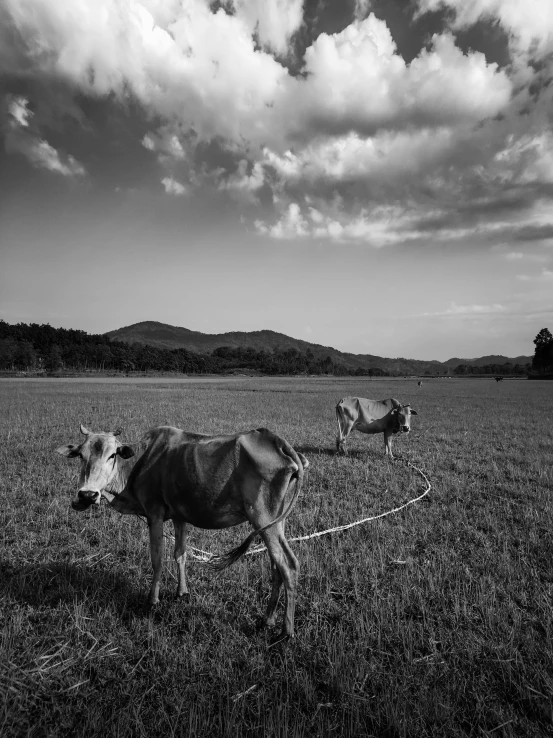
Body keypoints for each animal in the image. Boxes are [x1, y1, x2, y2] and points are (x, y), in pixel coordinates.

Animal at [56, 426, 308, 640]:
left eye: (112, 455)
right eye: (81, 455)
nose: (87, 495)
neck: (138, 464)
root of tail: (277, 441)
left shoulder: (154, 514)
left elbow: (157, 559)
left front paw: (153, 600)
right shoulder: (179, 517)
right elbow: (180, 554)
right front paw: (182, 591)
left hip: (264, 519)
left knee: (288, 565)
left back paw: (286, 631)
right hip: (275, 523)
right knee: (276, 566)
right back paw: (267, 619)